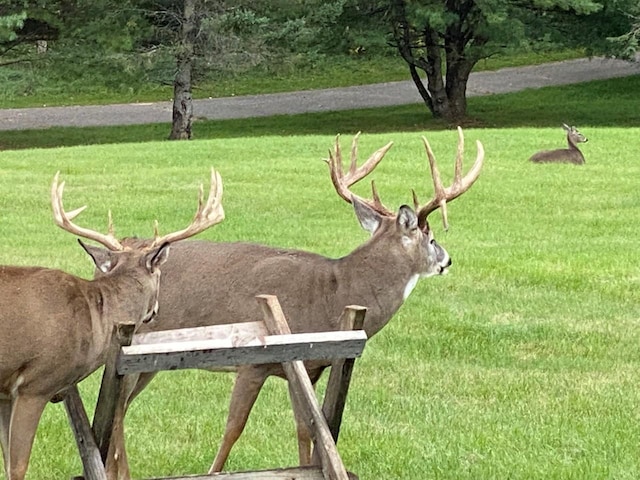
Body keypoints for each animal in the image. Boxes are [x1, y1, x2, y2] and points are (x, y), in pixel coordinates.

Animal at [0, 170, 225, 480]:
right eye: (160, 273)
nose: (155, 311)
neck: (93, 317)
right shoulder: (35, 383)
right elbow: (17, 466)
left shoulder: (5, 393)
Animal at [102, 125, 484, 478]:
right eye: (431, 238)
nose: (447, 260)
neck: (332, 294)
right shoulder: (253, 361)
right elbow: (233, 430)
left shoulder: (307, 368)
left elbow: (307, 429)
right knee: (118, 407)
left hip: (149, 361)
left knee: (120, 405)